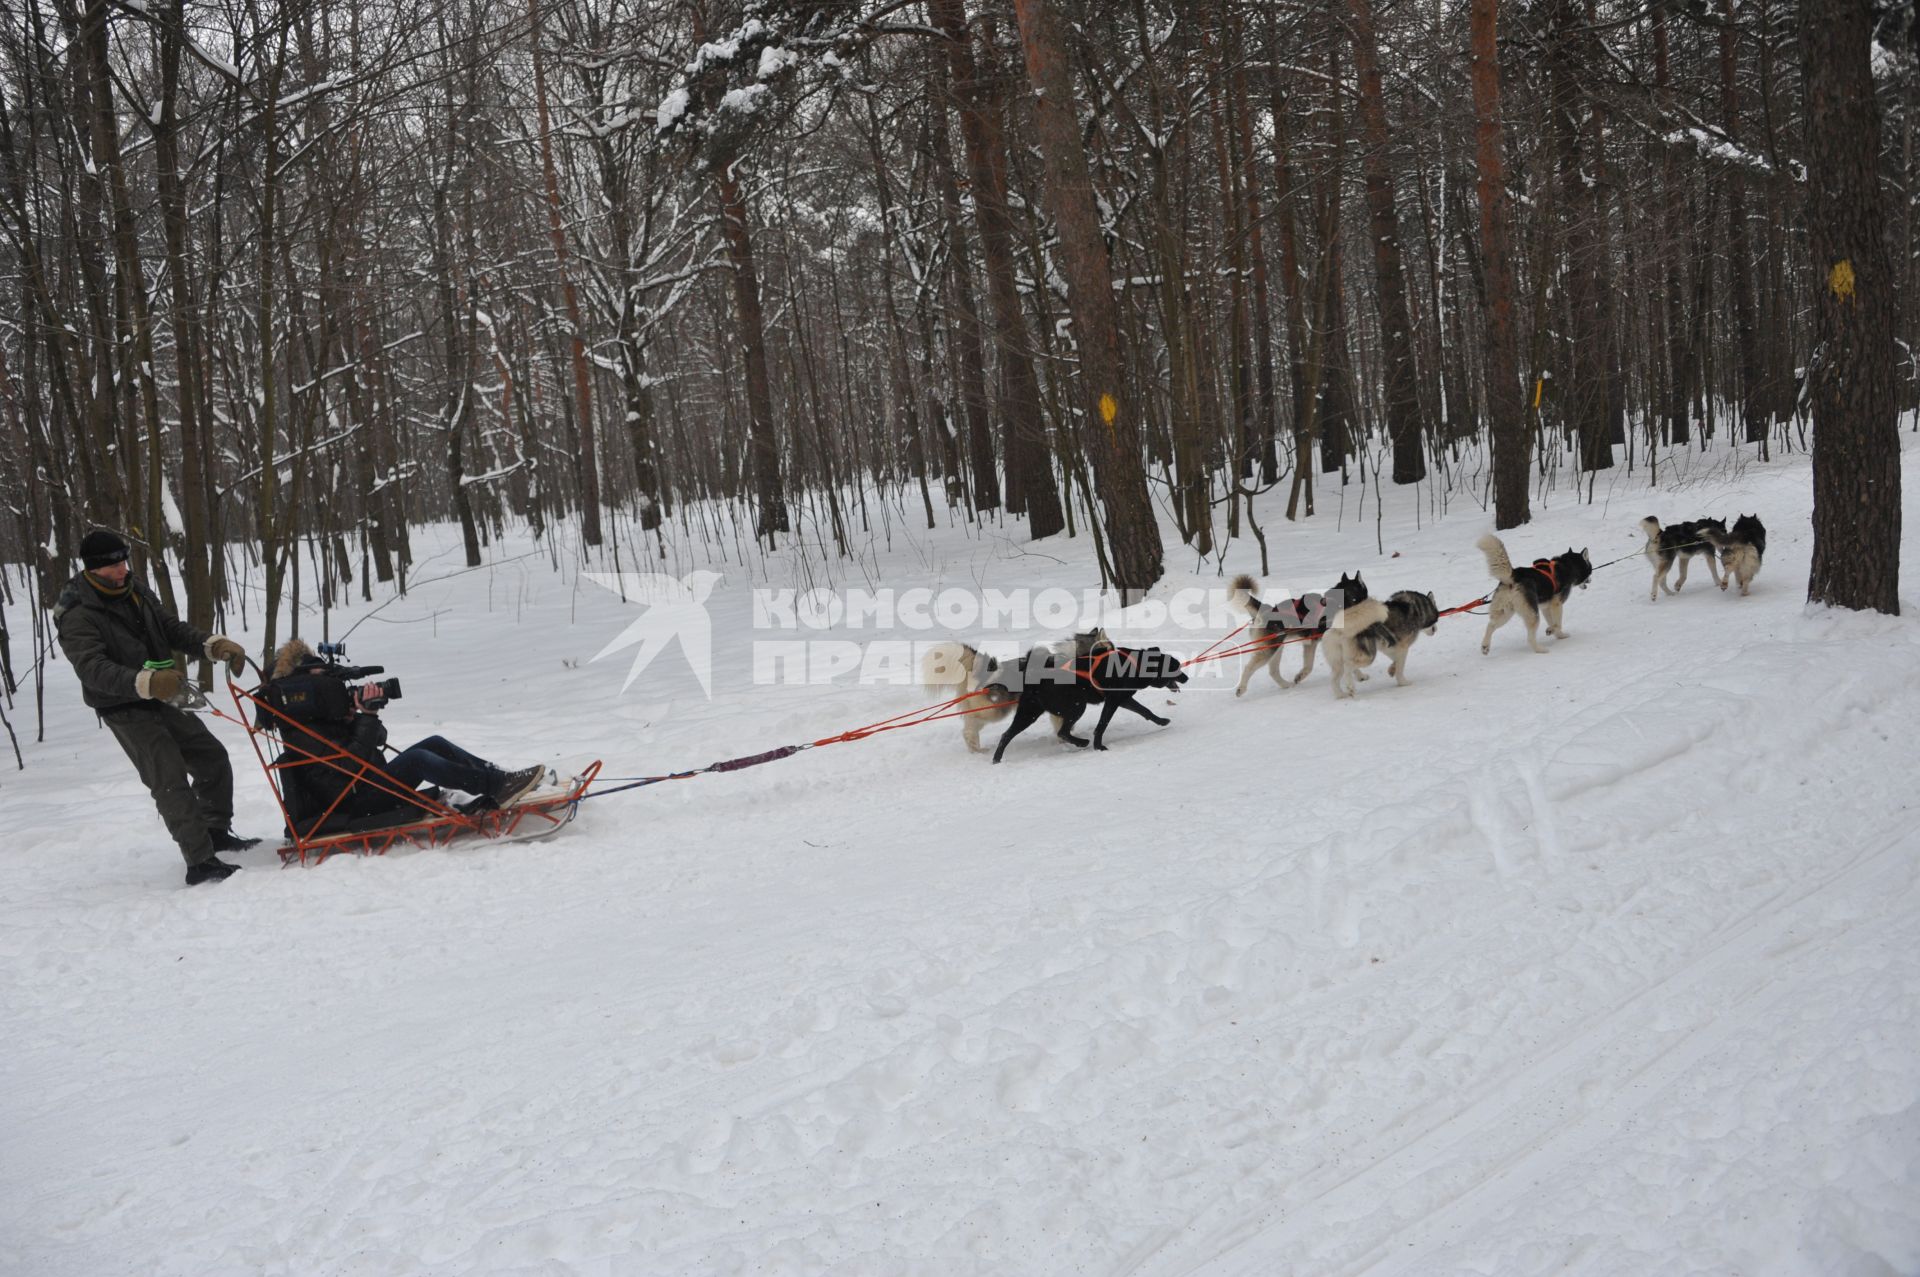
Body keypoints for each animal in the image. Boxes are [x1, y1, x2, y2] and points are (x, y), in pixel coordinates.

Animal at [990, 641, 1182, 760]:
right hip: (1076, 706)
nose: (1186, 678)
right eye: (1175, 667)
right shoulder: (1113, 701)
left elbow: (1145, 710)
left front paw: (1161, 721)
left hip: (1028, 714)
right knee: (1062, 732)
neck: (1135, 664)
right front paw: (1099, 746)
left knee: (1006, 735)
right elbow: (1102, 725)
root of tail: (1035, 677)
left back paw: (997, 760)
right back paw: (1082, 742)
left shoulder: (1123, 699)